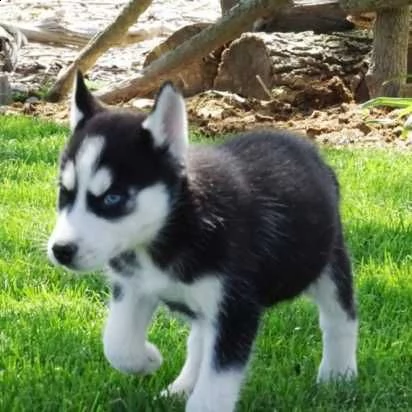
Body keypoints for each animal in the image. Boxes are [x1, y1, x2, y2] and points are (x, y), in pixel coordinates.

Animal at [48, 72, 358, 410]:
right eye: (65, 192)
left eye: (113, 198)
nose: (61, 251)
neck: (172, 231)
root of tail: (301, 143)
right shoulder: (133, 286)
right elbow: (117, 344)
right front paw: (147, 359)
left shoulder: (236, 308)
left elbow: (214, 388)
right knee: (198, 338)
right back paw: (182, 386)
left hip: (327, 261)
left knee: (340, 319)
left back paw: (338, 377)